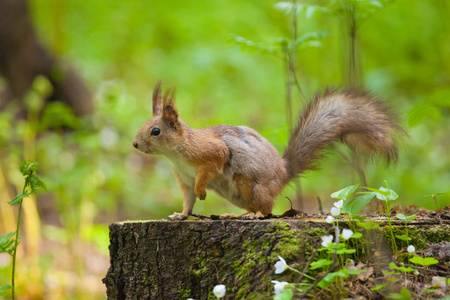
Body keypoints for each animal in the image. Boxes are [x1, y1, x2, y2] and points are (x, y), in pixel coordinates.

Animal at [132, 82, 402, 220]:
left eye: (155, 131)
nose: (135, 144)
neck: (176, 154)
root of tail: (283, 174)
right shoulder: (183, 178)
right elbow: (187, 199)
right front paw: (180, 215)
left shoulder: (210, 153)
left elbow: (210, 169)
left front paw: (202, 192)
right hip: (238, 193)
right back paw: (235, 215)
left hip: (251, 184)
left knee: (267, 210)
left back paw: (253, 216)